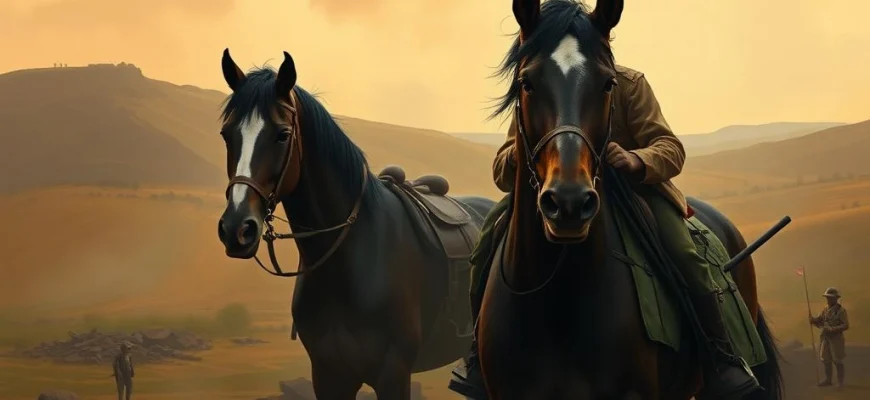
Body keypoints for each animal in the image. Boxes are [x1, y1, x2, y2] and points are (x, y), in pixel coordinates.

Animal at [215, 49, 496, 399]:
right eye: (227, 135)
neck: (346, 261)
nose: (237, 229)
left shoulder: (393, 375)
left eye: (282, 135)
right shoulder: (329, 375)